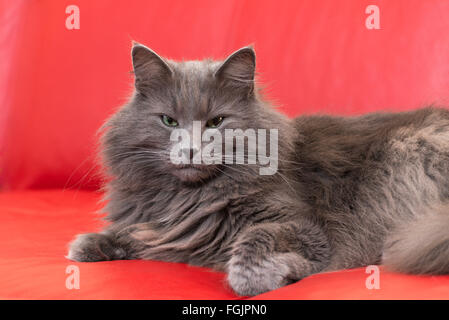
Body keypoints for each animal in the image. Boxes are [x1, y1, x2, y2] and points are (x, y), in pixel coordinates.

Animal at [66, 43, 448, 298]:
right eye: (168, 121)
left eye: (217, 122)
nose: (190, 148)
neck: (188, 200)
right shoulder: (158, 225)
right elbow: (134, 233)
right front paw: (90, 244)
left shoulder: (308, 226)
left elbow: (256, 239)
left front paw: (264, 277)